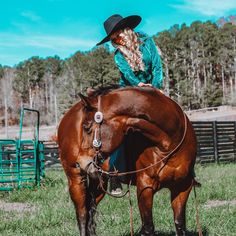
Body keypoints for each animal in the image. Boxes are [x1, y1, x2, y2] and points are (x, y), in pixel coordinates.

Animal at [58, 86, 198, 236]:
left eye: (87, 127)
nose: (81, 162)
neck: (170, 144)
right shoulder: (145, 187)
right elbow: (148, 227)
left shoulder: (182, 187)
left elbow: (180, 224)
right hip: (76, 178)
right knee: (82, 214)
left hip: (98, 181)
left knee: (91, 209)